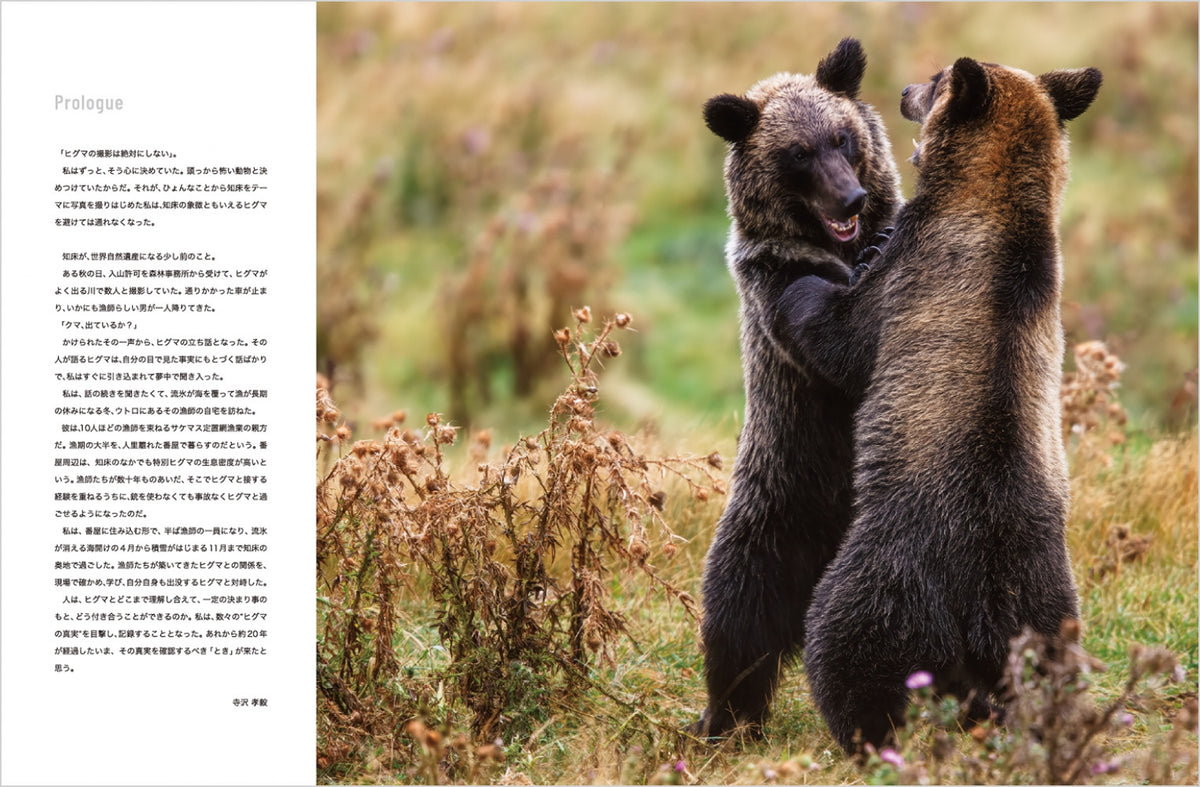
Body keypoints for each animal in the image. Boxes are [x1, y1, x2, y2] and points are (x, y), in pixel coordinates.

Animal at [690, 37, 902, 739]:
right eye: (797, 154)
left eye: (842, 136)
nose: (852, 201)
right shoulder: (775, 289)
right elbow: (834, 343)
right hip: (779, 501)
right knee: (738, 614)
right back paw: (726, 716)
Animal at [771, 56, 1102, 754]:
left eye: (937, 76)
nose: (903, 90)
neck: (995, 205)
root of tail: (981, 603)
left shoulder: (907, 277)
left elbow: (841, 331)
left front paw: (801, 284)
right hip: (1047, 596)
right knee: (1050, 666)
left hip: (890, 573)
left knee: (845, 645)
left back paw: (864, 733)